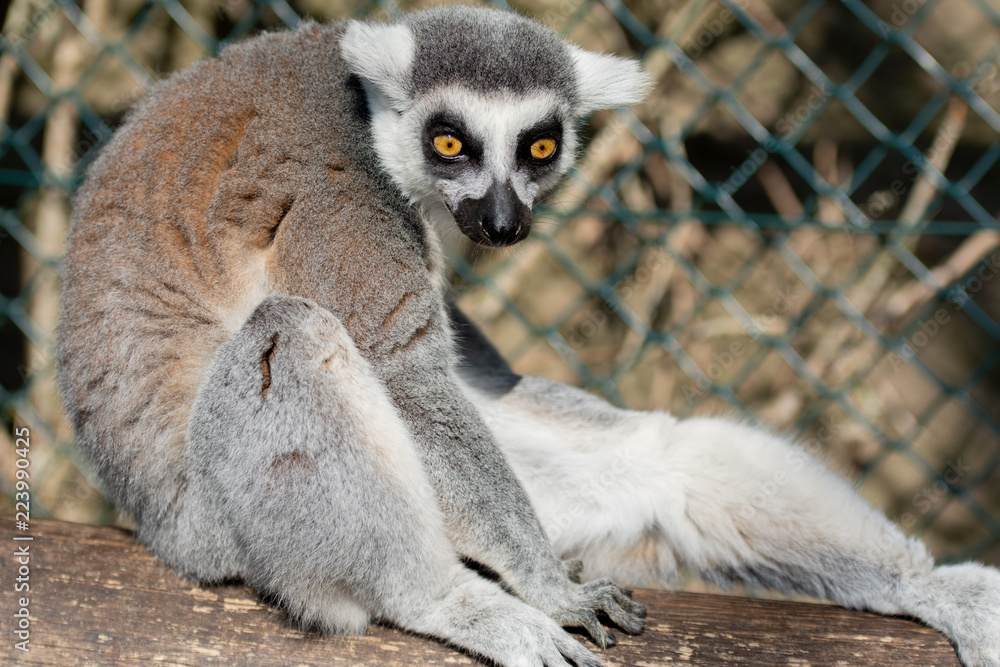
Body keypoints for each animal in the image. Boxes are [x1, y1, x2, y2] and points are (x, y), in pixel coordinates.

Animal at [56, 6, 1000, 666]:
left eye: (540, 147)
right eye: (450, 141)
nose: (505, 222)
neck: (365, 117)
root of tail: (157, 525)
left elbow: (473, 376)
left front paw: (933, 586)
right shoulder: (332, 193)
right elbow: (404, 374)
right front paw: (546, 585)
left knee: (662, 456)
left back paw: (924, 584)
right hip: (223, 522)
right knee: (290, 331)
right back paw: (444, 597)